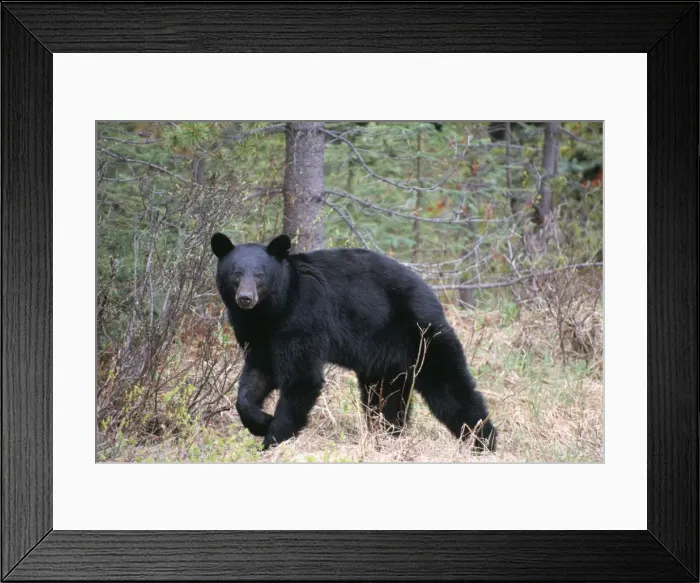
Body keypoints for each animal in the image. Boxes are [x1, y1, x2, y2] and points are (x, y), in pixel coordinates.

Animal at [211, 232, 497, 452]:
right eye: (236, 274)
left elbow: (302, 378)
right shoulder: (256, 334)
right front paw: (259, 420)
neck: (271, 312)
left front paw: (273, 439)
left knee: (451, 390)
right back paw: (386, 437)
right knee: (385, 400)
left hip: (424, 338)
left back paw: (484, 441)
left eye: (260, 275)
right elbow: (257, 374)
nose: (245, 298)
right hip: (385, 362)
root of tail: (432, 296)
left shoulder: (303, 318)